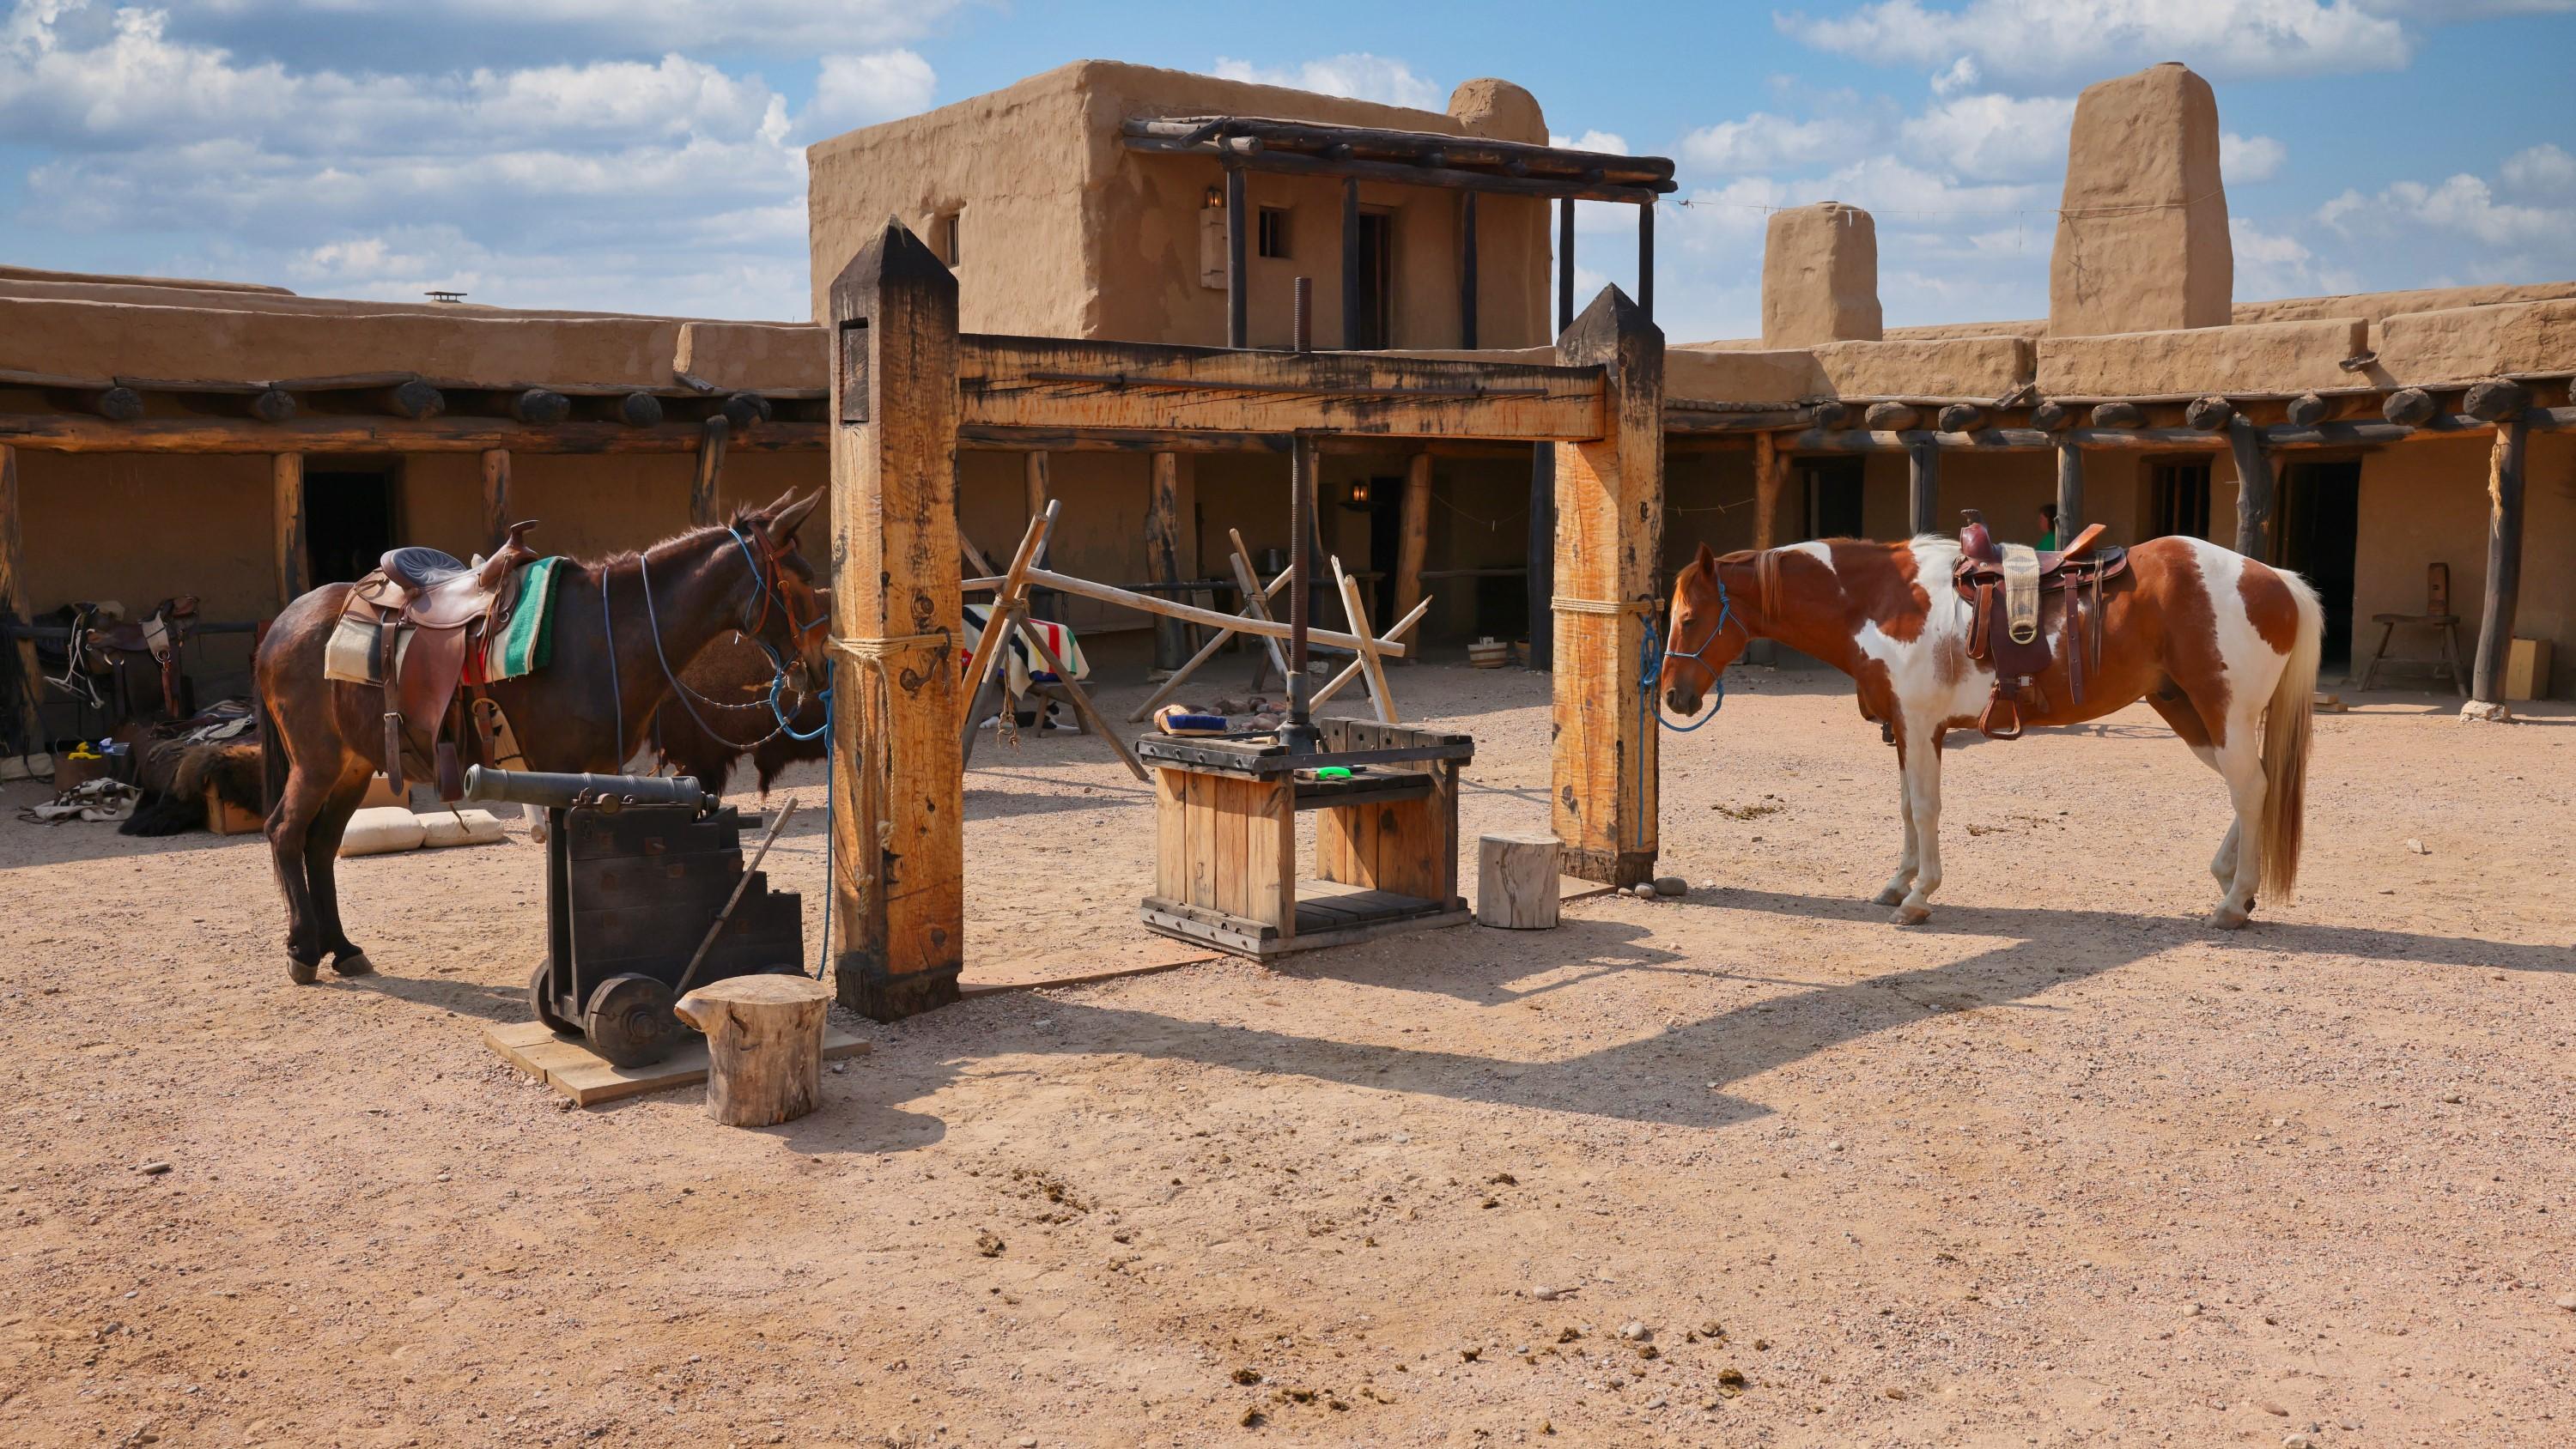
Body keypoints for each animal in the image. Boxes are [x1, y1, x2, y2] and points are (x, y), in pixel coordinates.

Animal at [258, 491, 829, 988]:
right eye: (802, 578)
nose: (820, 664)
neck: (607, 634)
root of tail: (280, 625)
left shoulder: (600, 771)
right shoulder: (565, 769)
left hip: (354, 765)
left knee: (321, 845)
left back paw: (343, 949)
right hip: (316, 762)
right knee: (285, 832)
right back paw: (303, 950)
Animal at [1659, 532, 2329, 931]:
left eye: (1689, 618)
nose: (1672, 696)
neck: (1880, 599)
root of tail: (2274, 577)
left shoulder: (1921, 724)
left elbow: (1926, 808)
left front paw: (1920, 896)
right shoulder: (1907, 729)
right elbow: (1907, 808)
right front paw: (1897, 882)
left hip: (2222, 711)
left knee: (2251, 789)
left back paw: (2232, 903)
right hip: (2188, 713)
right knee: (2252, 790)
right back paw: (2232, 885)